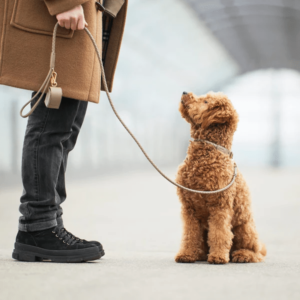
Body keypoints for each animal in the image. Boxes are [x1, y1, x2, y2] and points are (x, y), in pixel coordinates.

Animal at [175, 90, 266, 264]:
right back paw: (199, 254)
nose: (184, 92)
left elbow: (220, 233)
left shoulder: (220, 205)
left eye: (205, 102)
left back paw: (242, 255)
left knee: (256, 253)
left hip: (245, 228)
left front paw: (218, 257)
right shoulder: (189, 208)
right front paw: (186, 254)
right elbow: (190, 234)